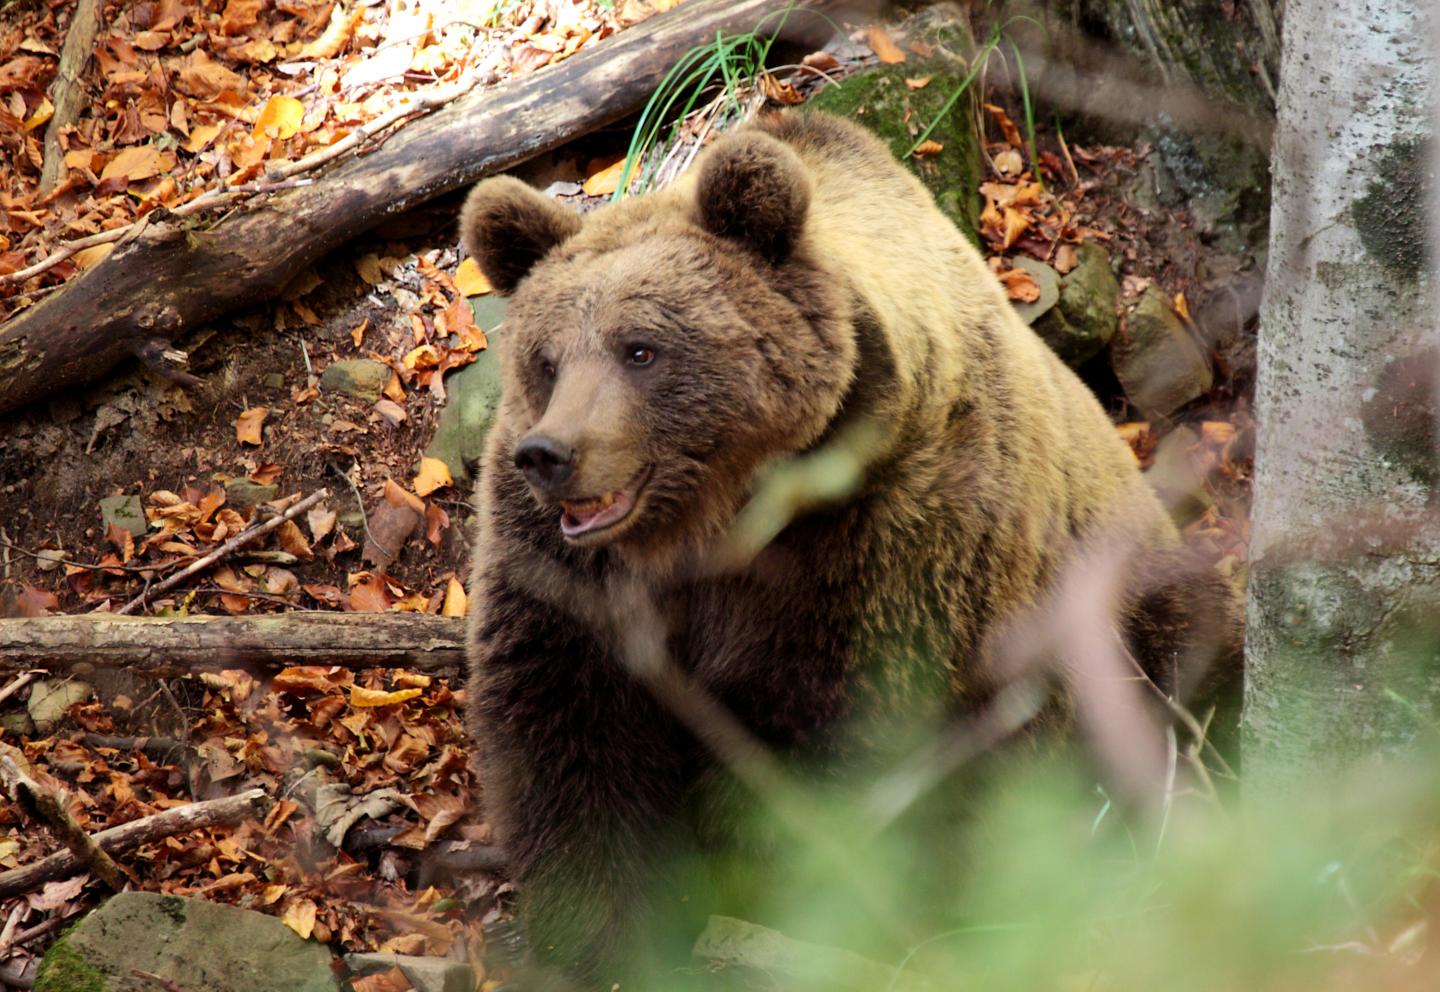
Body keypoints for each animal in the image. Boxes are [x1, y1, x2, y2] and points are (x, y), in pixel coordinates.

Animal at [463, 112, 1238, 984]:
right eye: (547, 359)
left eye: (640, 349)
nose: (550, 453)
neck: (714, 522)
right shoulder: (570, 575)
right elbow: (570, 728)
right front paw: (604, 933)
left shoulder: (880, 545)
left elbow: (825, 746)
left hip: (1121, 593)